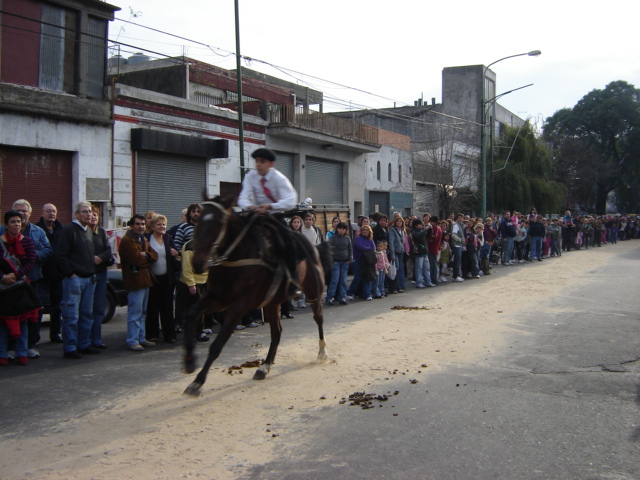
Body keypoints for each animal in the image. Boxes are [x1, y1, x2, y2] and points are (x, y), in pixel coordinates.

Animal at [180, 197, 330, 396]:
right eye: (197, 220)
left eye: (219, 222)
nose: (197, 263)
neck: (237, 258)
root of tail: (312, 246)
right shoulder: (216, 299)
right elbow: (190, 314)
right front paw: (189, 361)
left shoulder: (238, 306)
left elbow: (217, 345)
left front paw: (198, 381)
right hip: (272, 303)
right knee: (276, 332)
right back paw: (264, 367)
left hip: (314, 292)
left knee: (318, 319)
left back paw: (322, 353)